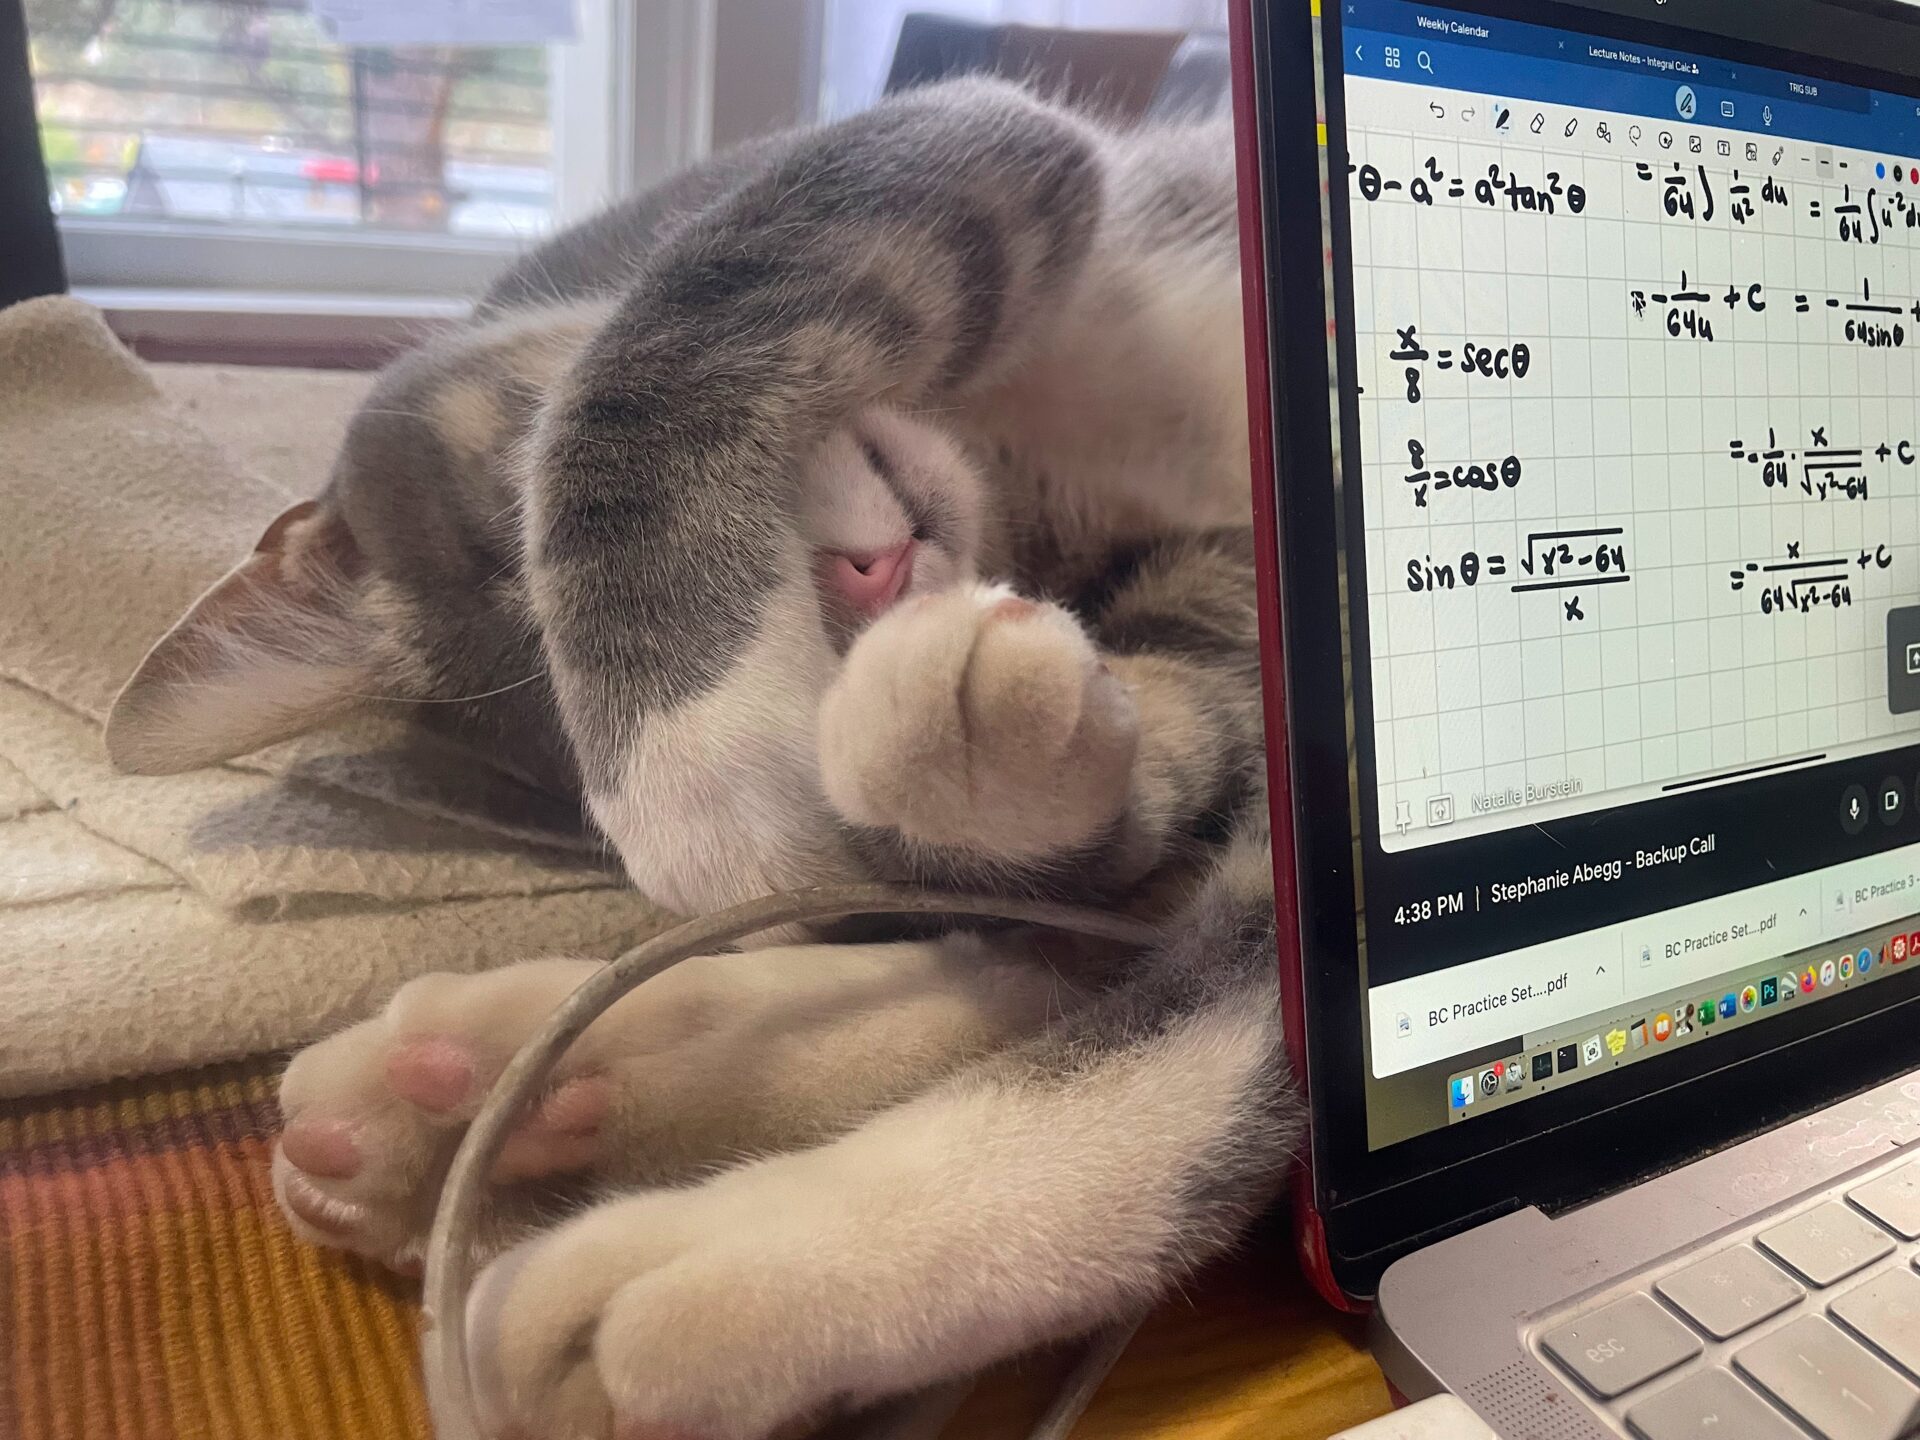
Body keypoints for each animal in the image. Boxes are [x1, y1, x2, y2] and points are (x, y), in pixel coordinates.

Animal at [107, 77, 1299, 1439]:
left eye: (535, 496)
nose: (867, 575)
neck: (1014, 472)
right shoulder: (1210, 600)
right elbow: (1131, 794)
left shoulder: (929, 148)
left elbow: (697, 313)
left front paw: (695, 752)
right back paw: (544, 1108)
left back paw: (673, 1253)